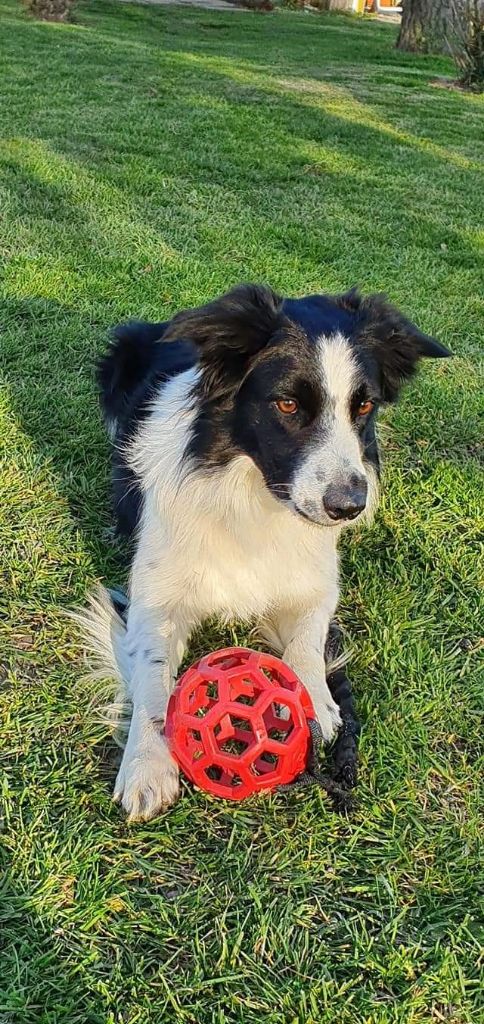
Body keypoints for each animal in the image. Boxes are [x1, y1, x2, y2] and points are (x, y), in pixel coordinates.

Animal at [82, 284, 448, 819]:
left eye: (363, 407)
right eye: (288, 405)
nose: (349, 507)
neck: (254, 494)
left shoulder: (315, 579)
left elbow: (307, 643)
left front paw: (316, 699)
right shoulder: (155, 596)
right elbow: (152, 678)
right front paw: (147, 765)